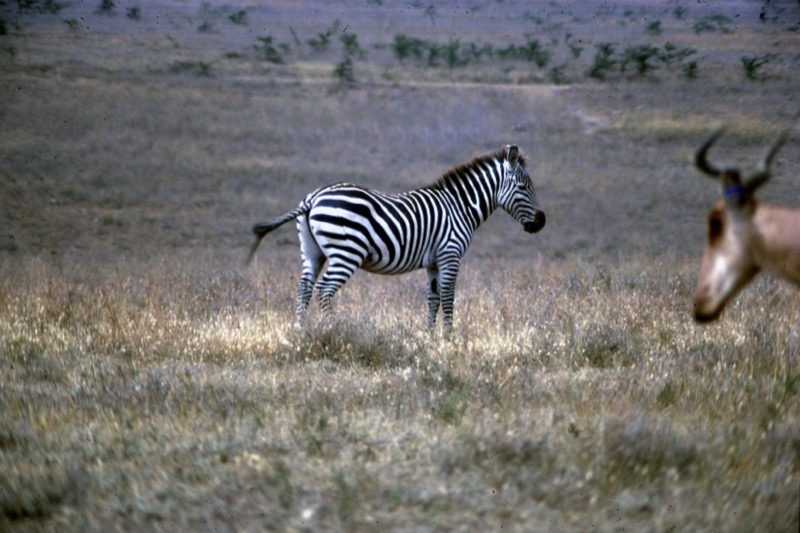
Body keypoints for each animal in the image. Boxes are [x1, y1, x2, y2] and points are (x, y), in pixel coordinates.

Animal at [247, 143, 548, 330]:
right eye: (524, 186)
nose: (541, 222)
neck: (459, 206)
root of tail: (313, 198)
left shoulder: (433, 263)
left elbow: (433, 299)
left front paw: (430, 337)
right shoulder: (450, 255)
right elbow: (448, 298)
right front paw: (450, 340)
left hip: (312, 252)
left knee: (304, 289)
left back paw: (300, 333)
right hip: (346, 252)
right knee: (324, 290)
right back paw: (334, 330)